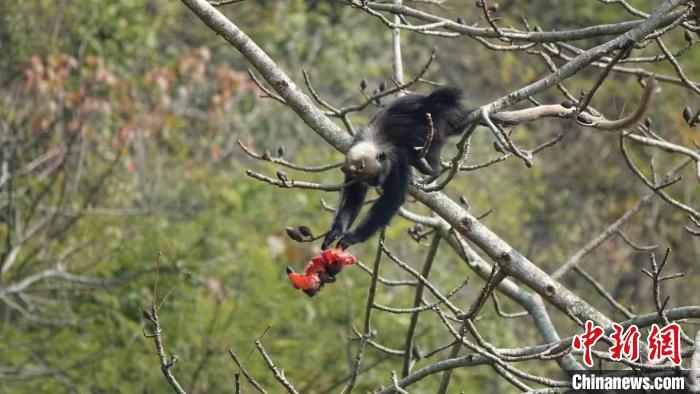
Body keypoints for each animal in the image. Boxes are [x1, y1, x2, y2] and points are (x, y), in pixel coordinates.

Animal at [322, 88, 474, 249]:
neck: (375, 141)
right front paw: (337, 231)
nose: (375, 183)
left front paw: (354, 236)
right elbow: (355, 197)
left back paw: (427, 167)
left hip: (436, 125)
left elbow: (393, 197)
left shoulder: (398, 161)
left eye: (373, 177)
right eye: (368, 180)